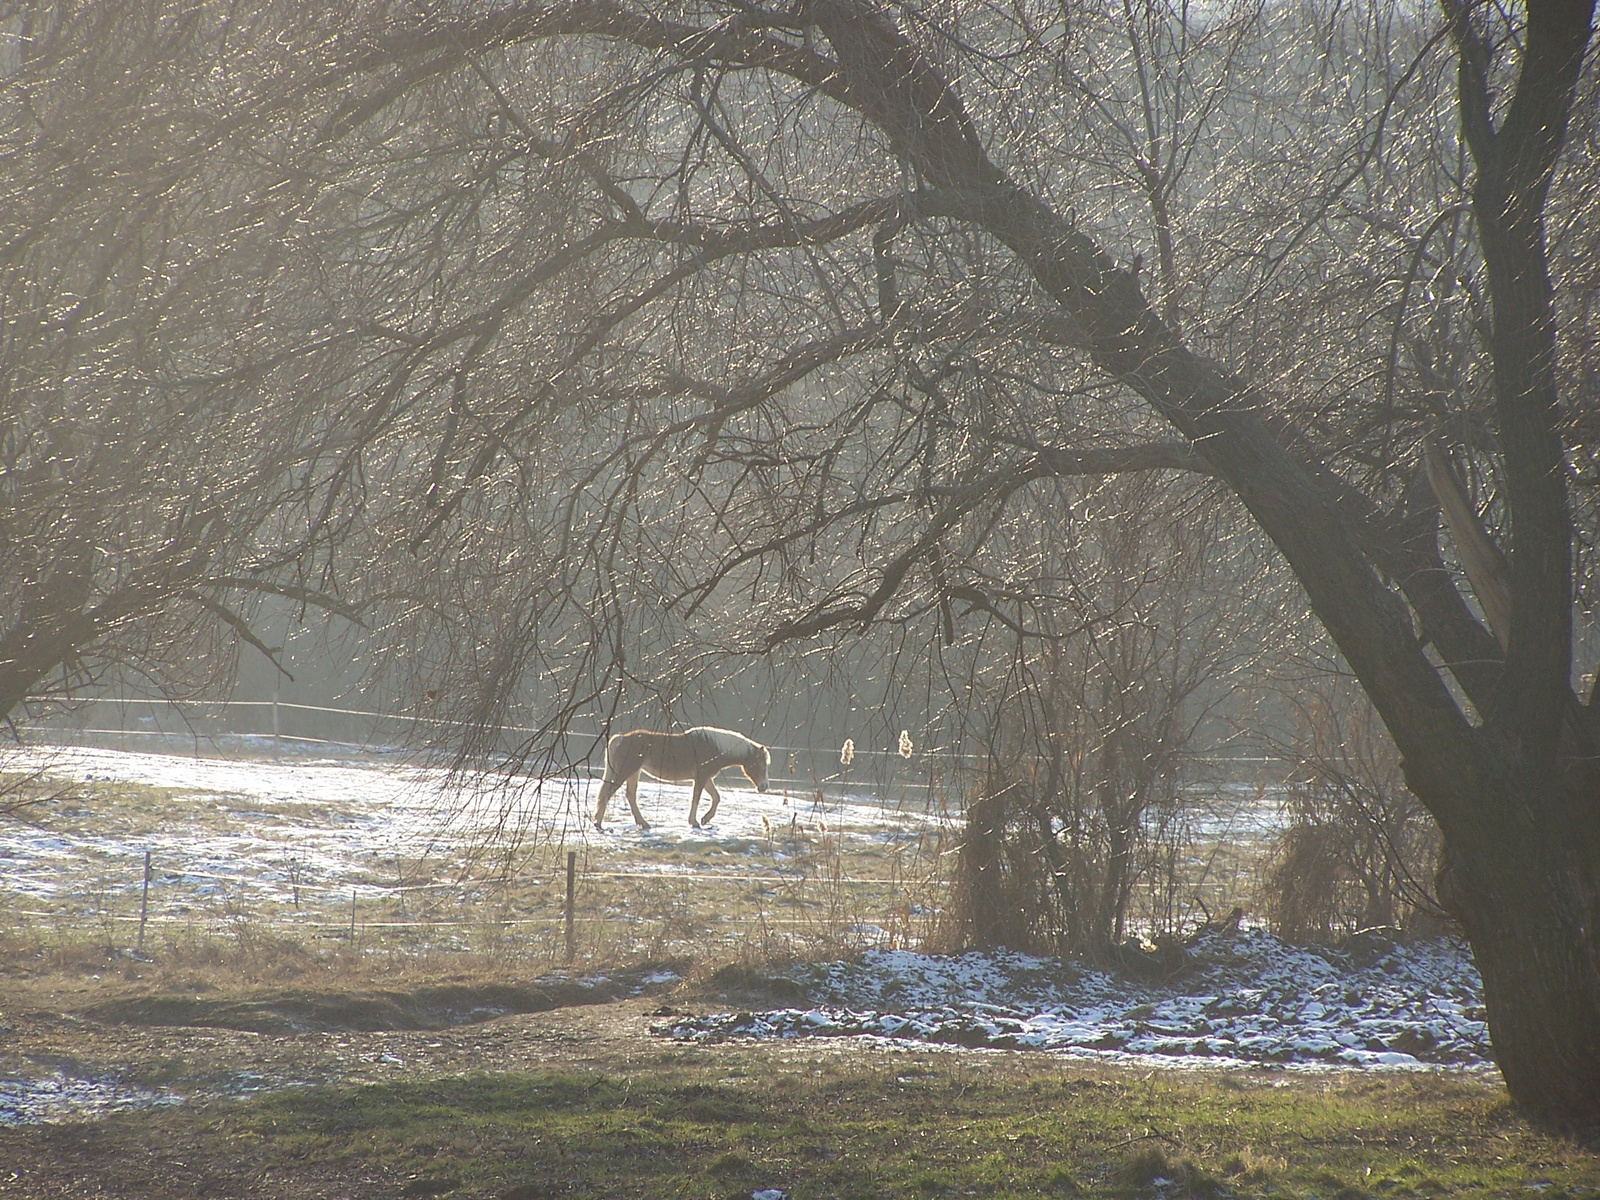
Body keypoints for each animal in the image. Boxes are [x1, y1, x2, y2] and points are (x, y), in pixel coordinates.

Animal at [595, 729, 774, 832]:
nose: (764, 786)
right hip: (626, 772)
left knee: (630, 796)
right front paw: (694, 822)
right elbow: (696, 798)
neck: (715, 747)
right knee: (607, 794)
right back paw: (598, 822)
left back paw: (643, 823)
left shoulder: (706, 778)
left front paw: (705, 819)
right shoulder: (701, 777)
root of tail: (621, 738)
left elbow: (716, 797)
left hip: (633, 773)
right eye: (760, 764)